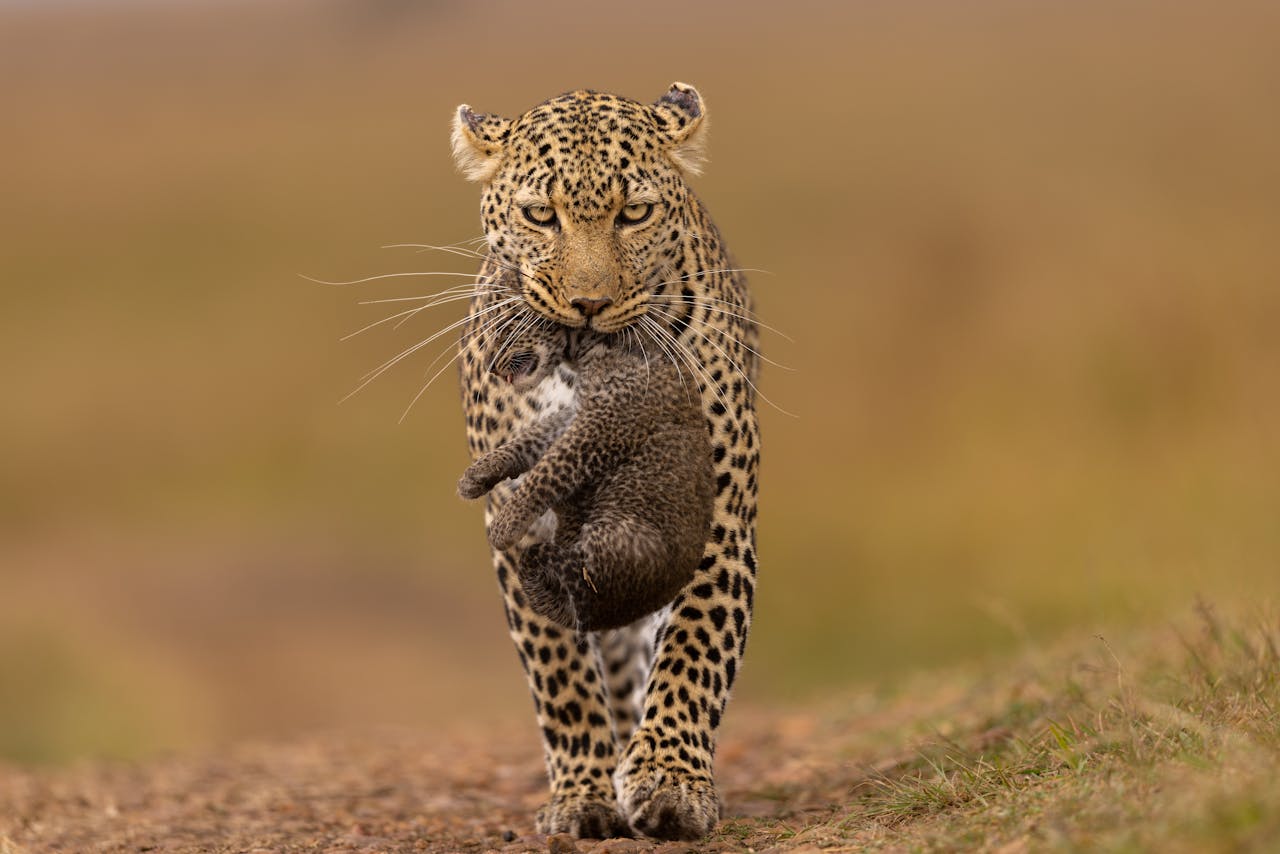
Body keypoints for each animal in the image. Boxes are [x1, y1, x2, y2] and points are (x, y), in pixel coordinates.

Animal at [457, 325, 715, 634]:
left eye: (509, 329)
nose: (490, 366)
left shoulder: (603, 424)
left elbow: (552, 468)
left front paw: (505, 524)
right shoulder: (577, 414)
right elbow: (533, 438)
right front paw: (478, 474)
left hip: (619, 537)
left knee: (562, 566)